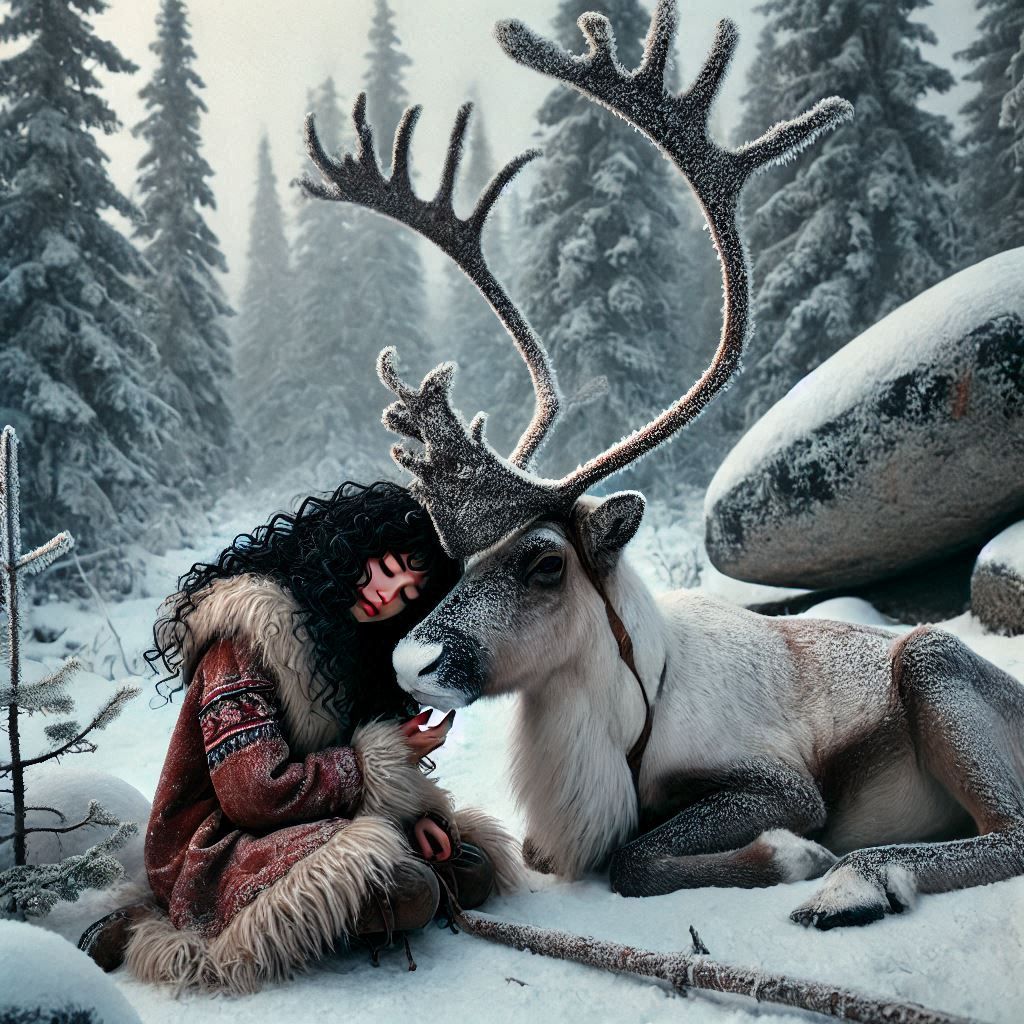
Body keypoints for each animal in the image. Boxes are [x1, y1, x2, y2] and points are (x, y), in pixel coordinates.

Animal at [300, 0, 1024, 930]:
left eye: (544, 563)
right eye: (460, 562)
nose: (410, 662)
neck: (627, 710)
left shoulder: (783, 783)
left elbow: (637, 857)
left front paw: (793, 857)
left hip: (935, 667)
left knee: (1009, 830)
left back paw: (863, 878)